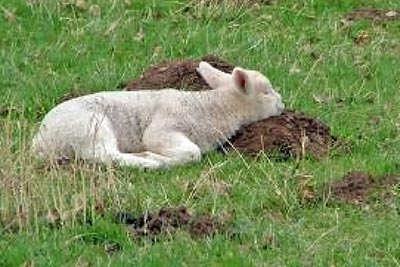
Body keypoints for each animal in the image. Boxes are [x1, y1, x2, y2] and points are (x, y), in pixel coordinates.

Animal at [32, 61, 284, 169]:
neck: (212, 108)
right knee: (104, 155)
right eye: (266, 91)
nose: (282, 103)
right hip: (89, 128)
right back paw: (147, 161)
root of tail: (40, 142)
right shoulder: (163, 129)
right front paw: (160, 157)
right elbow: (192, 153)